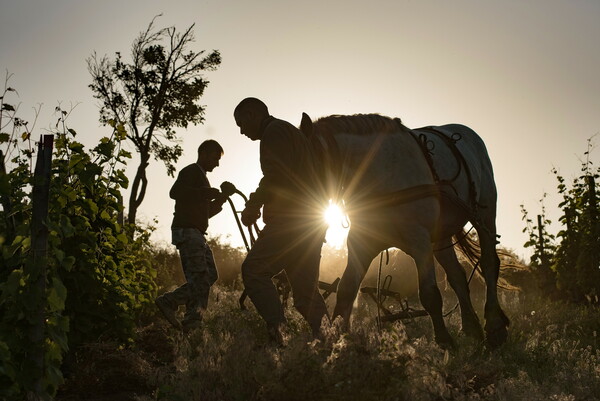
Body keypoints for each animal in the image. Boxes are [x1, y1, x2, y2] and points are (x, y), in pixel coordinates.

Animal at [302, 112, 508, 346]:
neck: (382, 176)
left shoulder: (419, 241)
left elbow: (430, 294)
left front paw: (445, 340)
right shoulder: (361, 243)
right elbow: (346, 289)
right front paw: (339, 338)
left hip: (485, 217)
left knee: (489, 264)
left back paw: (494, 326)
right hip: (441, 238)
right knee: (457, 275)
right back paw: (471, 328)